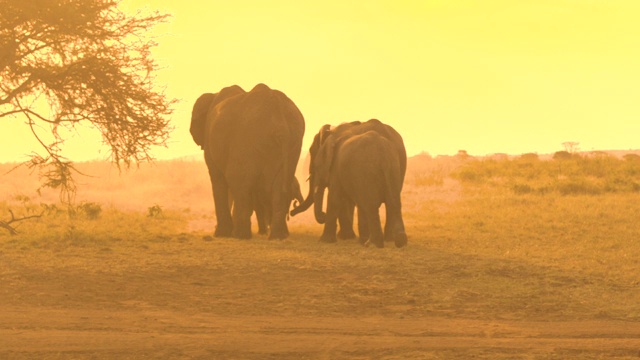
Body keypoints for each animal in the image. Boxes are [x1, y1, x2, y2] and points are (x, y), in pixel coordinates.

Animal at [190, 83, 304, 239]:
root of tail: (279, 119)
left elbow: (218, 178)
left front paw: (221, 234)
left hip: (247, 139)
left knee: (239, 181)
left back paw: (240, 235)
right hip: (293, 142)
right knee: (281, 186)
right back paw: (277, 237)